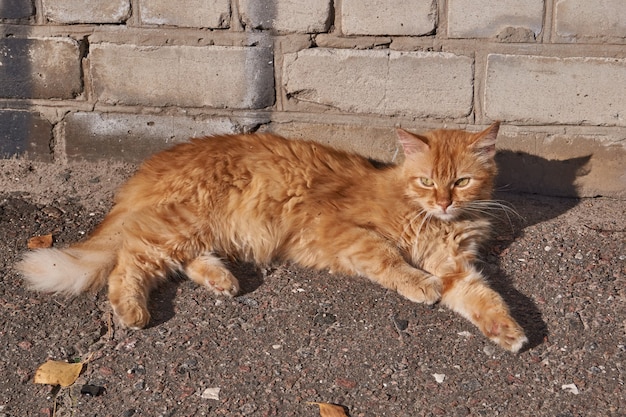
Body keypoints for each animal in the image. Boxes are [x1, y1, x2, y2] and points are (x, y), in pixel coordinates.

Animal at [17, 122, 528, 352]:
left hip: (197, 229)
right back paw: (131, 309)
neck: (435, 222)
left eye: (461, 182)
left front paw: (509, 331)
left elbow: (484, 298)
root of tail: (158, 160)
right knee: (130, 258)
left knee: (178, 258)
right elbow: (388, 257)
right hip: (181, 224)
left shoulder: (457, 267)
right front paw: (418, 283)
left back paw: (222, 279)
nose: (443, 201)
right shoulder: (343, 230)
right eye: (427, 182)